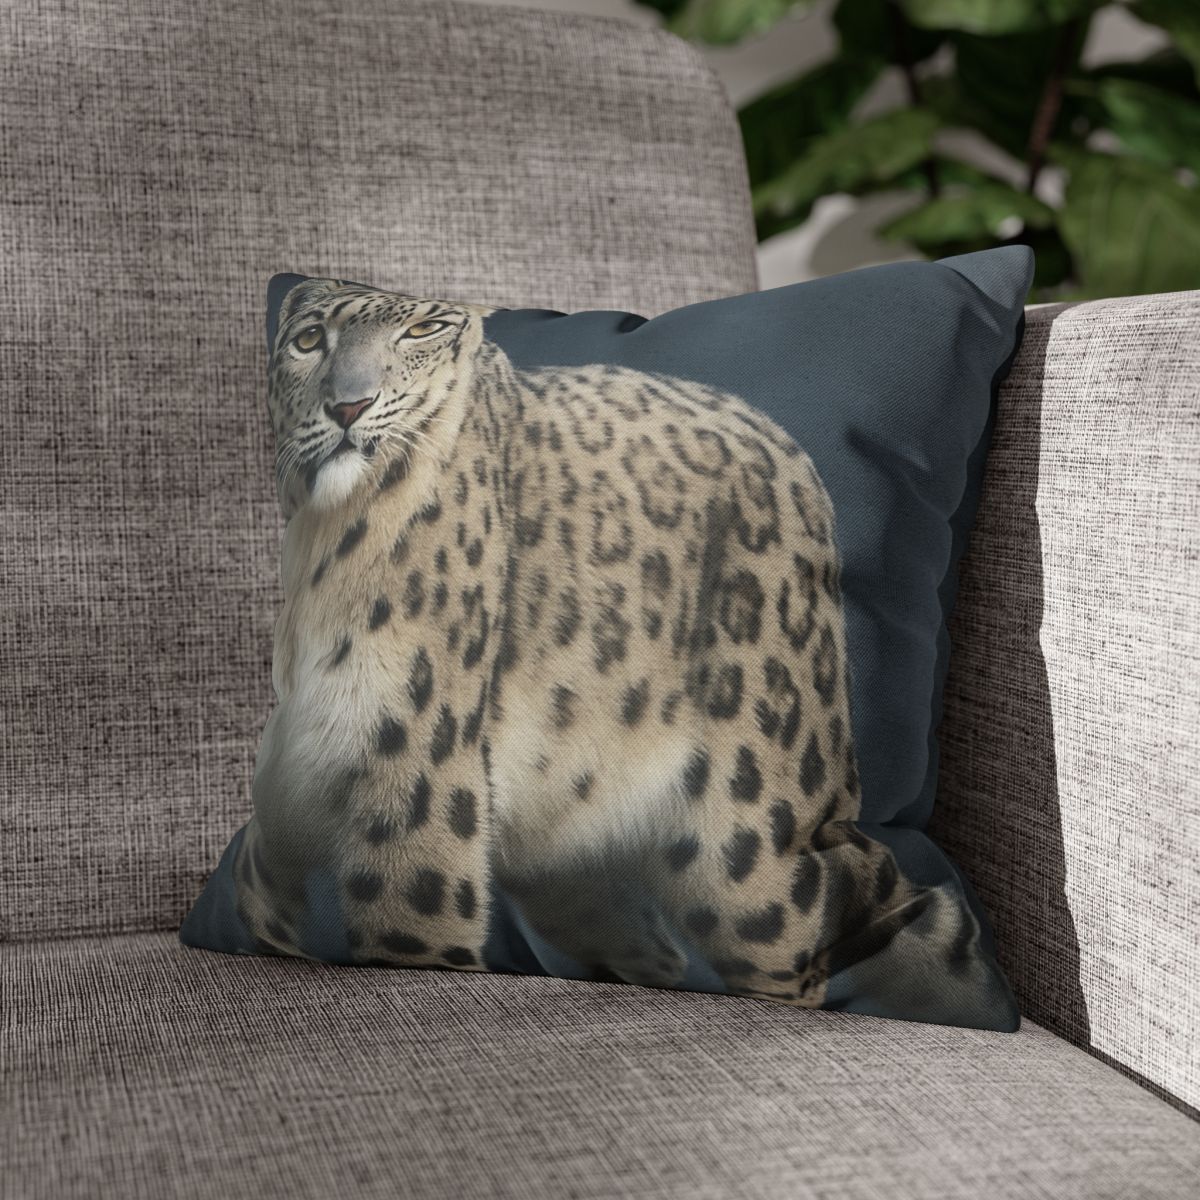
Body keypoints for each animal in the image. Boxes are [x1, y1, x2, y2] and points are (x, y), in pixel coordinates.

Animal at [231, 275, 992, 1011]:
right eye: (308, 340)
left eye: (424, 328)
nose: (348, 406)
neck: (321, 555)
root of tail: (795, 457)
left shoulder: (414, 775)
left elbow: (409, 916)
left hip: (746, 844)